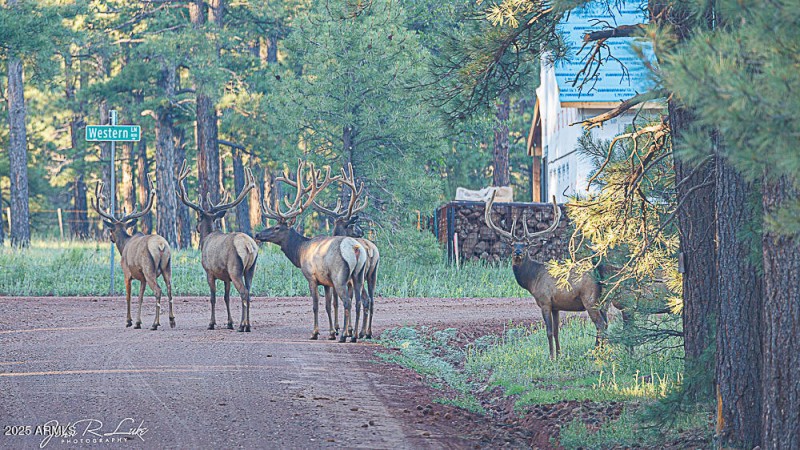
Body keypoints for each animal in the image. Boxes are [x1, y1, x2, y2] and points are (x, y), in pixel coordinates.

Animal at [91, 175, 175, 331]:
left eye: (110, 230)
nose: (111, 238)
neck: (124, 246)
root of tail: (161, 246)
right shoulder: (142, 278)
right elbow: (140, 297)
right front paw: (138, 322)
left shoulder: (127, 272)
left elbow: (128, 297)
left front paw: (129, 321)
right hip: (167, 267)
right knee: (169, 288)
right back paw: (172, 320)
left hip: (149, 268)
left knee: (158, 290)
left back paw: (155, 323)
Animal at [176, 160, 259, 332]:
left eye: (198, 219)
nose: (196, 227)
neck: (206, 238)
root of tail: (249, 246)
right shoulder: (226, 277)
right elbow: (226, 298)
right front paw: (229, 323)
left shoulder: (209, 271)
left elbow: (213, 297)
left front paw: (212, 323)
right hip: (251, 268)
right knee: (249, 291)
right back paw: (247, 325)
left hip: (235, 269)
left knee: (243, 292)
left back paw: (243, 326)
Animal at [254, 160, 367, 343]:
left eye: (277, 227)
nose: (258, 234)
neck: (300, 252)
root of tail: (355, 248)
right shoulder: (326, 282)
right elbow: (327, 305)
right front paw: (331, 332)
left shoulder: (311, 277)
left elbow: (315, 305)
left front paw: (315, 333)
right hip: (358, 275)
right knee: (358, 302)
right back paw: (354, 335)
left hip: (340, 277)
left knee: (348, 302)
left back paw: (345, 335)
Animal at [312, 163, 380, 339]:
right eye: (352, 225)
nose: (361, 231)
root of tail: (371, 249)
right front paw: (346, 329)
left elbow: (336, 301)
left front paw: (338, 329)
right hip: (372, 274)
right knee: (370, 299)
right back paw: (367, 332)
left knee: (363, 300)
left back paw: (358, 332)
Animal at [484, 192, 611, 359]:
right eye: (512, 244)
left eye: (526, 245)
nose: (518, 252)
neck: (532, 280)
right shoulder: (556, 306)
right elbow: (557, 331)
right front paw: (559, 355)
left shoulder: (545, 301)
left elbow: (549, 332)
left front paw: (550, 357)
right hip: (604, 301)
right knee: (607, 324)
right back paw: (604, 352)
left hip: (590, 299)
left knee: (600, 325)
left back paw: (596, 354)